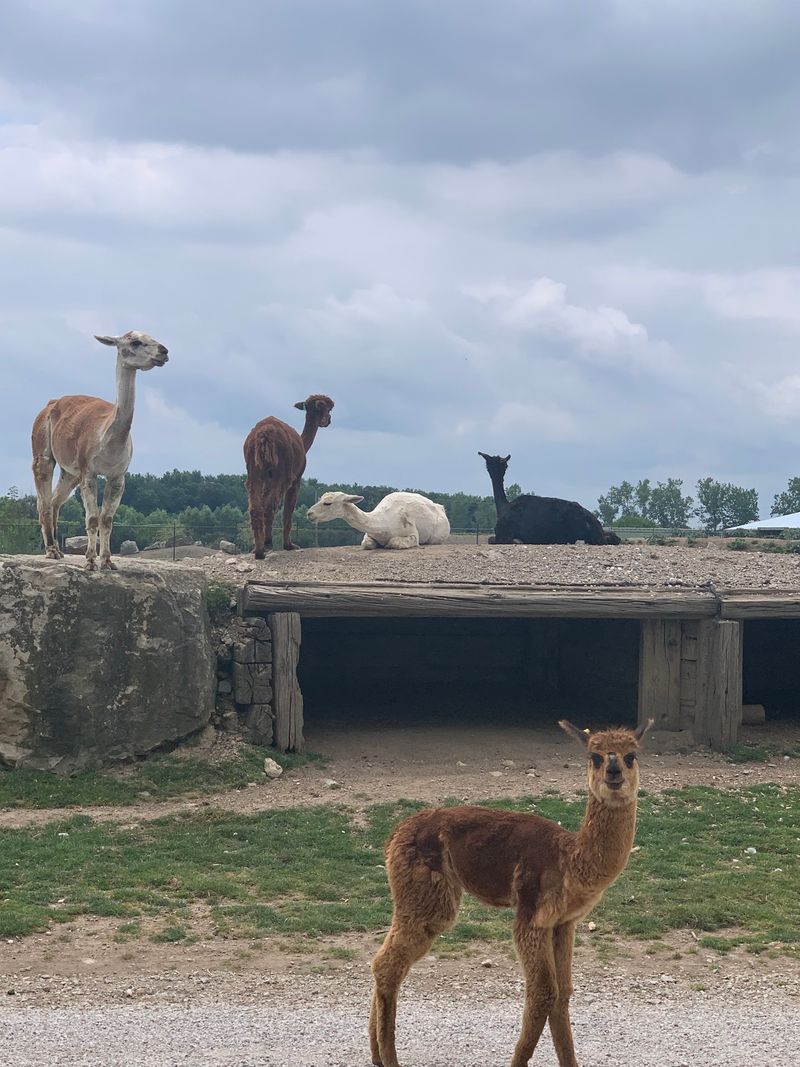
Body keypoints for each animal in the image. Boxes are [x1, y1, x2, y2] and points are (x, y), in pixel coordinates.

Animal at [31, 331, 169, 571]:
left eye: (153, 337)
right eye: (136, 342)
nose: (164, 351)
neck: (109, 439)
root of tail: (51, 403)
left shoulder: (118, 475)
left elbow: (107, 519)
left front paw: (107, 561)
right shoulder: (90, 471)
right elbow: (92, 518)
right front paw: (90, 561)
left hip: (71, 471)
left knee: (56, 500)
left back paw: (58, 549)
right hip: (42, 449)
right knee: (44, 501)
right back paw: (51, 551)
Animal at [243, 394, 334, 557]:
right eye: (328, 409)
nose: (328, 420)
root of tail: (263, 435)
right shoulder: (296, 478)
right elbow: (288, 511)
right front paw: (289, 545)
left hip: (254, 469)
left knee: (256, 506)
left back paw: (258, 549)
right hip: (282, 471)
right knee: (271, 505)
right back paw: (267, 544)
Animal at [307, 491, 450, 549]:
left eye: (328, 503)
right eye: (320, 498)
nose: (309, 513)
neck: (384, 524)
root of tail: (441, 508)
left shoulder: (413, 533)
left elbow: (395, 542)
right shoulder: (368, 535)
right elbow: (366, 544)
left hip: (438, 535)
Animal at [370, 717, 653, 1067]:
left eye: (631, 755)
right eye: (595, 756)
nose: (613, 770)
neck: (570, 860)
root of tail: (396, 832)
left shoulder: (563, 922)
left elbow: (563, 992)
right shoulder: (532, 914)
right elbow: (543, 992)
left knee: (384, 960)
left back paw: (376, 1054)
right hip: (427, 895)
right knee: (388, 965)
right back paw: (389, 1058)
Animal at [479, 452, 621, 546]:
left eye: (490, 462)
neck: (503, 507)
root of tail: (592, 520)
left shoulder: (503, 534)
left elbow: (491, 539)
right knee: (613, 536)